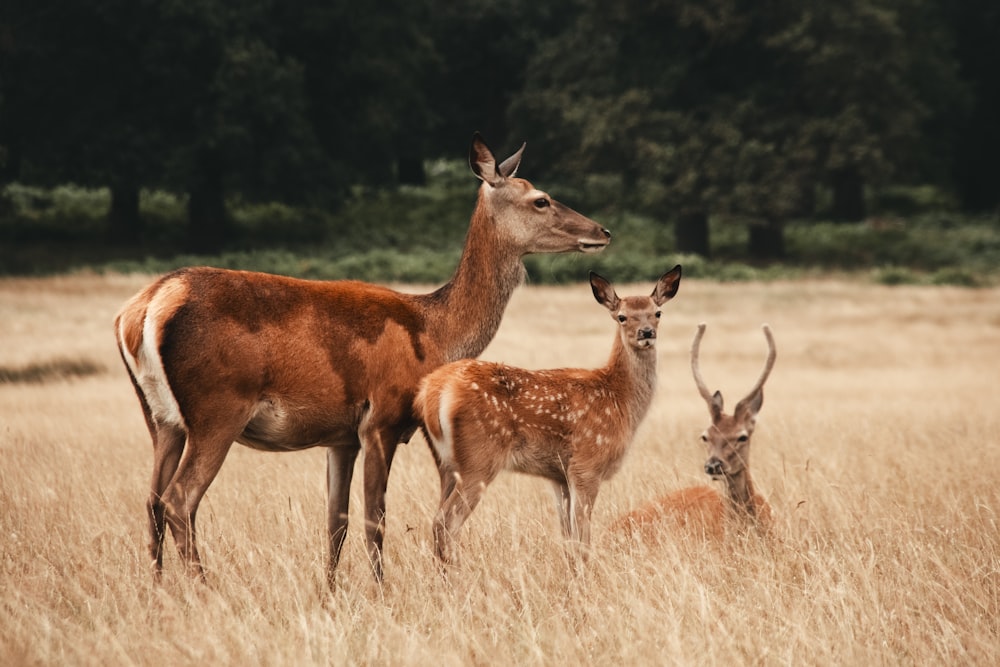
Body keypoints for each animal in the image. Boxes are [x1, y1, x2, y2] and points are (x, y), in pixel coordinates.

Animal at [111, 133, 608, 588]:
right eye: (540, 199)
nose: (602, 231)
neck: (435, 334)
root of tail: (146, 306)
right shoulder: (381, 418)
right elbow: (375, 518)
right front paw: (380, 592)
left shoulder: (341, 436)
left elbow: (336, 523)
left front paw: (330, 592)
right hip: (218, 408)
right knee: (179, 499)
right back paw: (203, 589)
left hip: (160, 416)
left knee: (152, 500)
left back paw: (158, 590)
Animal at [412, 268, 680, 568]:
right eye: (622, 316)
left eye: (657, 312)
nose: (646, 332)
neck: (619, 399)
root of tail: (431, 392)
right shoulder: (586, 463)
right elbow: (583, 539)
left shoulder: (558, 475)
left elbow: (568, 540)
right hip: (479, 458)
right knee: (446, 521)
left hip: (446, 463)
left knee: (438, 519)